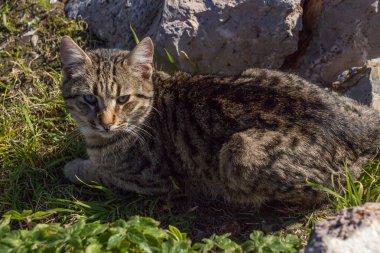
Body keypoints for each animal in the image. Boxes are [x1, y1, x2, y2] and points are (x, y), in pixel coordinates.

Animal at [60, 35, 380, 208]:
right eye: (89, 99)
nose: (105, 122)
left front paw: (75, 166)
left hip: (240, 152)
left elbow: (99, 171)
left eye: (123, 99)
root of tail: (356, 124)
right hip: (258, 71)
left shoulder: (153, 180)